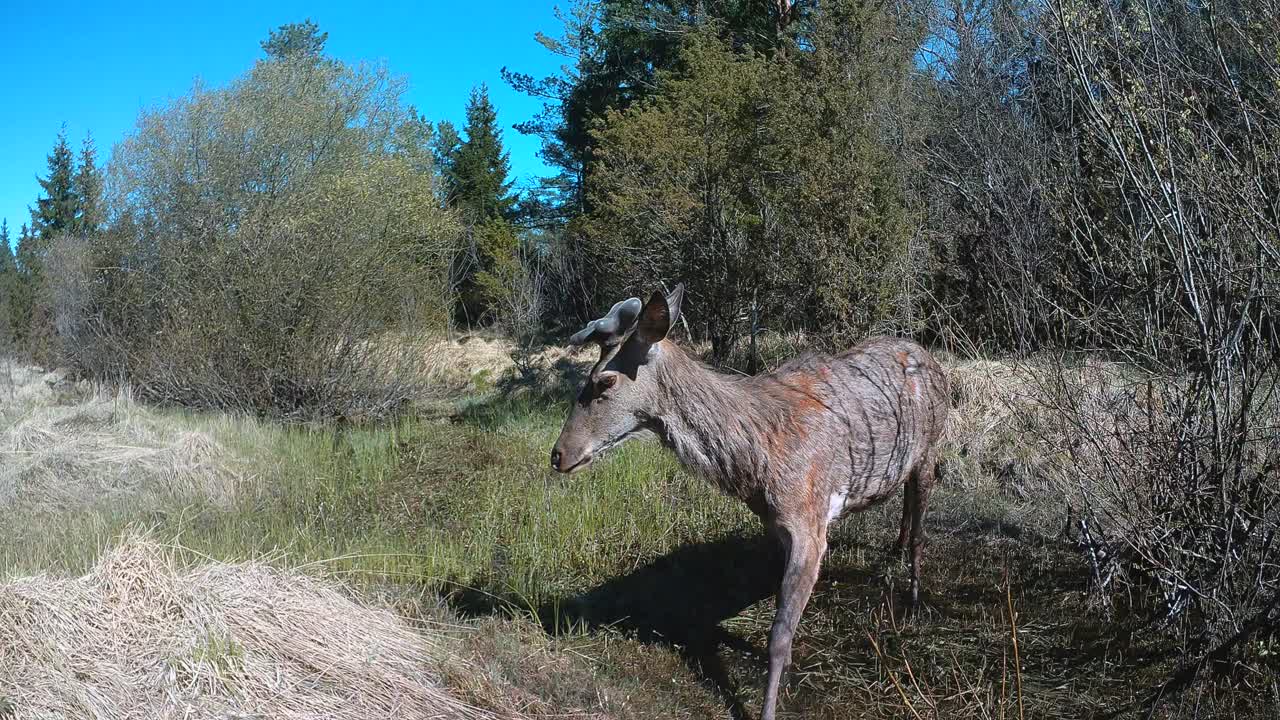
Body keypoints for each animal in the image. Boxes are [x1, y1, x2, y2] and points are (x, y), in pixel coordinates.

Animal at [550, 284, 950, 720]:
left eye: (604, 381)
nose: (558, 455)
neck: (757, 466)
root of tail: (936, 363)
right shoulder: (776, 524)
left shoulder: (810, 520)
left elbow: (779, 636)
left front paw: (768, 707)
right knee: (906, 500)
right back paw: (893, 552)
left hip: (931, 444)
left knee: (921, 524)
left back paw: (913, 596)